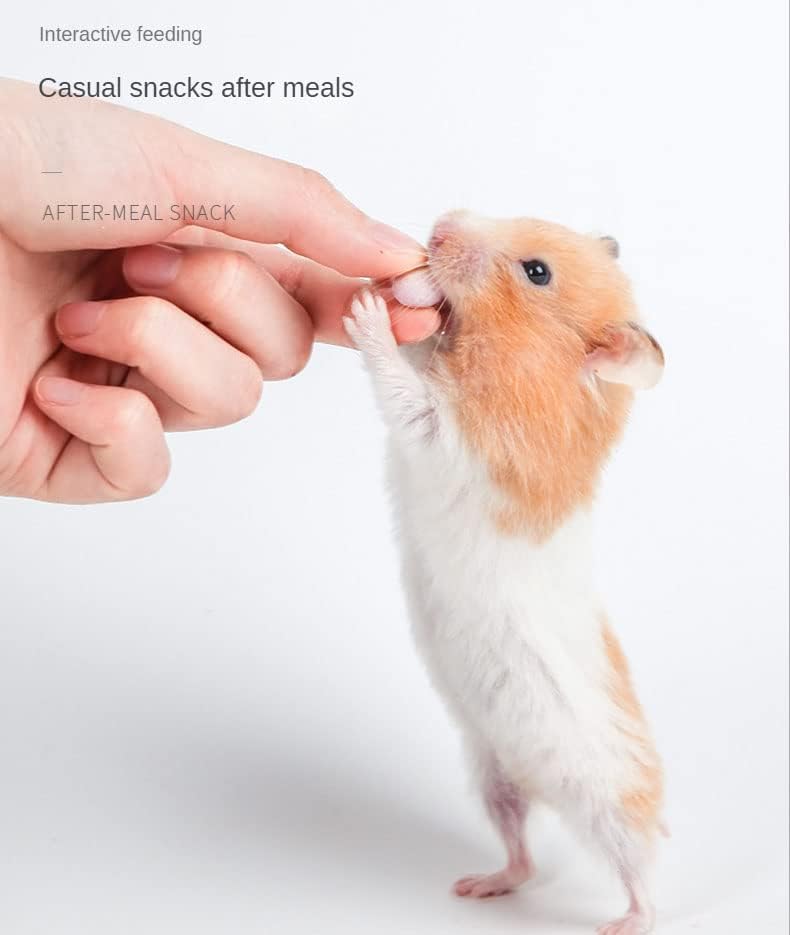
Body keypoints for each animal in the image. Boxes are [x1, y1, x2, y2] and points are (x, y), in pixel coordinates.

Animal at [343, 210, 666, 935]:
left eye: (536, 271)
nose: (441, 225)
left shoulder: (453, 433)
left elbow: (407, 392)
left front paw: (368, 311)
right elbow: (416, 359)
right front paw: (389, 289)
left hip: (608, 798)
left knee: (641, 866)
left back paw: (624, 922)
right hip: (491, 771)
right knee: (521, 851)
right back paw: (479, 886)